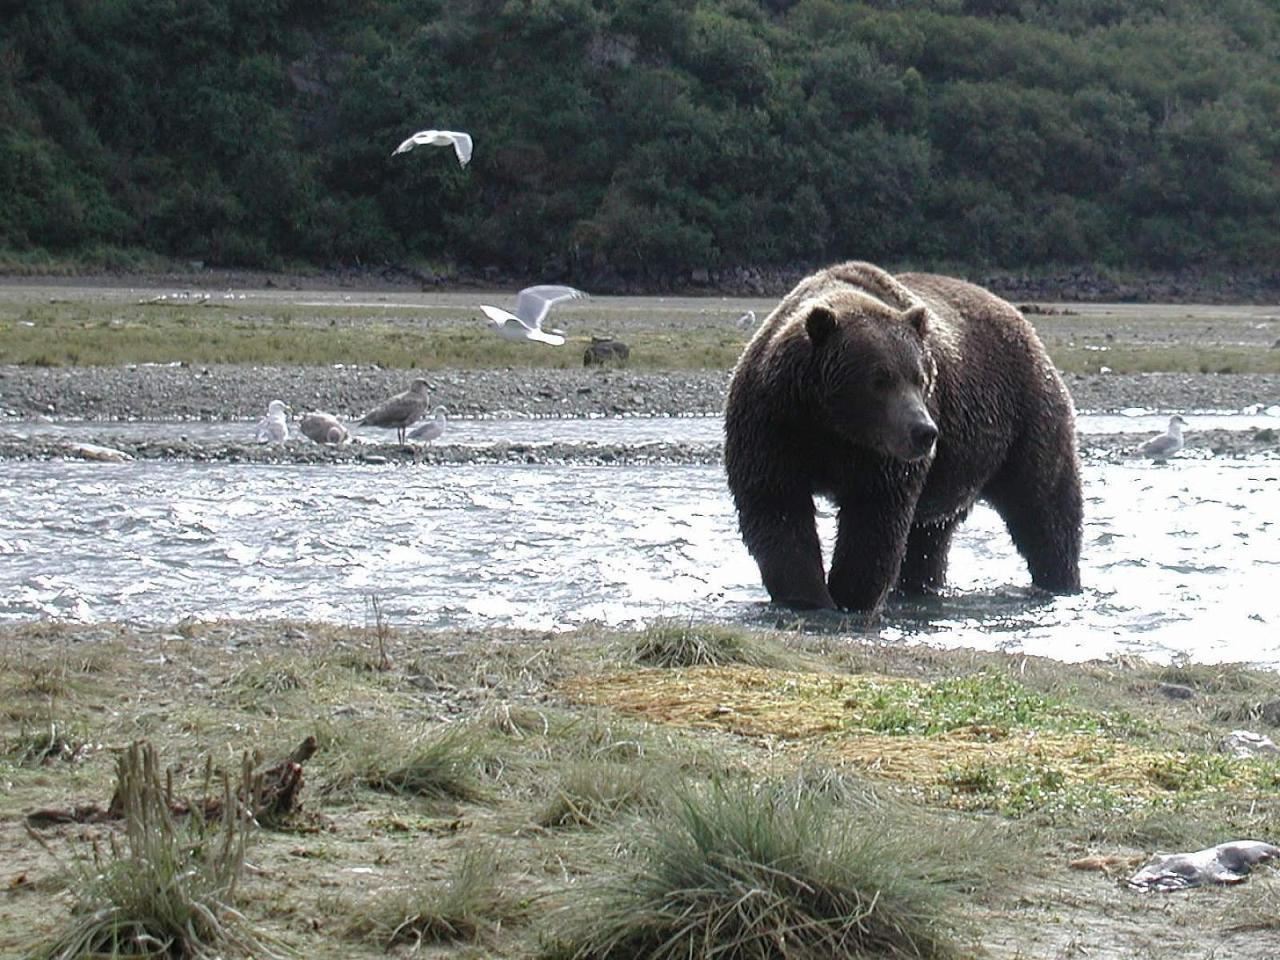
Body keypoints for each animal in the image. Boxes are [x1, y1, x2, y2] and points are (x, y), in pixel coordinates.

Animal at [727, 259, 1075, 611]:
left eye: (920, 377)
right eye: (880, 380)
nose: (925, 432)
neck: (832, 426)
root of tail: (1024, 324)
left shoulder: (882, 456)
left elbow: (874, 519)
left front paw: (850, 595)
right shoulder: (772, 425)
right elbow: (777, 505)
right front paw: (807, 596)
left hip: (1024, 421)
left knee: (1044, 507)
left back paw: (1060, 580)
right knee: (930, 535)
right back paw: (921, 586)